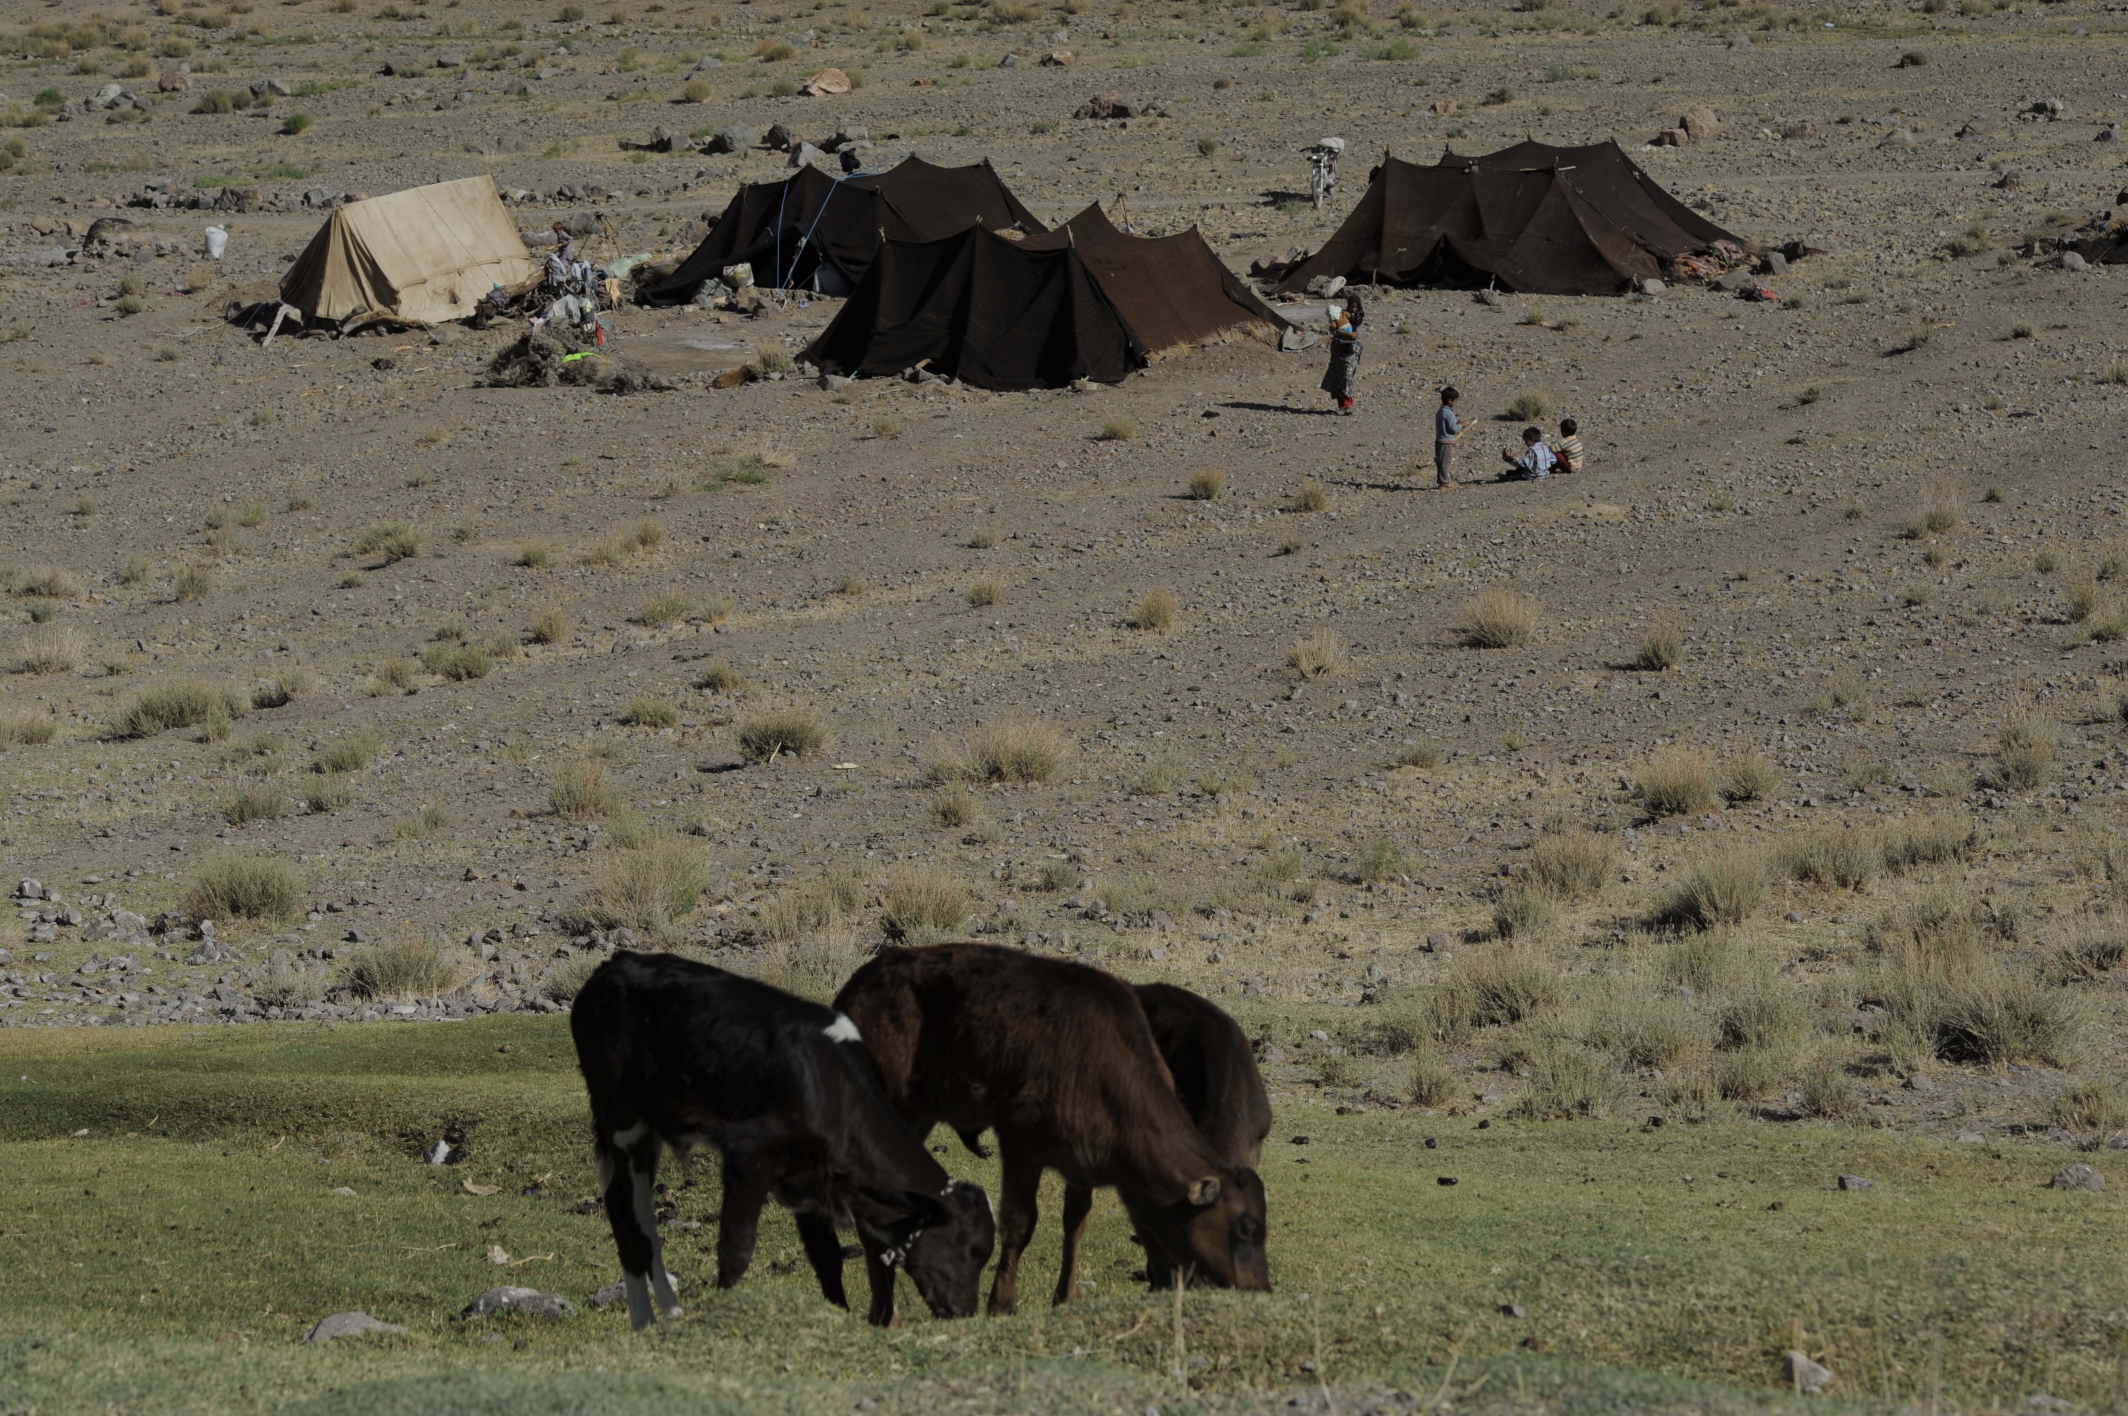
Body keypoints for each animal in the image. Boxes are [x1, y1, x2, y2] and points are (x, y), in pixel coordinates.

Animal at [566, 949, 995, 1328]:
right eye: (966, 1248)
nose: (964, 1312)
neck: (830, 1087)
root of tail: (614, 964)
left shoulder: (810, 1179)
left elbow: (827, 1258)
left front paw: (836, 1314)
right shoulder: (748, 1160)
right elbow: (736, 1248)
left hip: (646, 1136)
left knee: (643, 1221)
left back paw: (668, 1314)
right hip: (621, 1123)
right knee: (624, 1216)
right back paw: (644, 1321)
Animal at [829, 945, 1259, 1311]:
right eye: (1244, 1228)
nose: (1259, 1288)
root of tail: (858, 986)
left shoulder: (1085, 1161)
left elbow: (1077, 1222)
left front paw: (1064, 1296)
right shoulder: (1021, 1148)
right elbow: (1021, 1223)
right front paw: (1001, 1303)